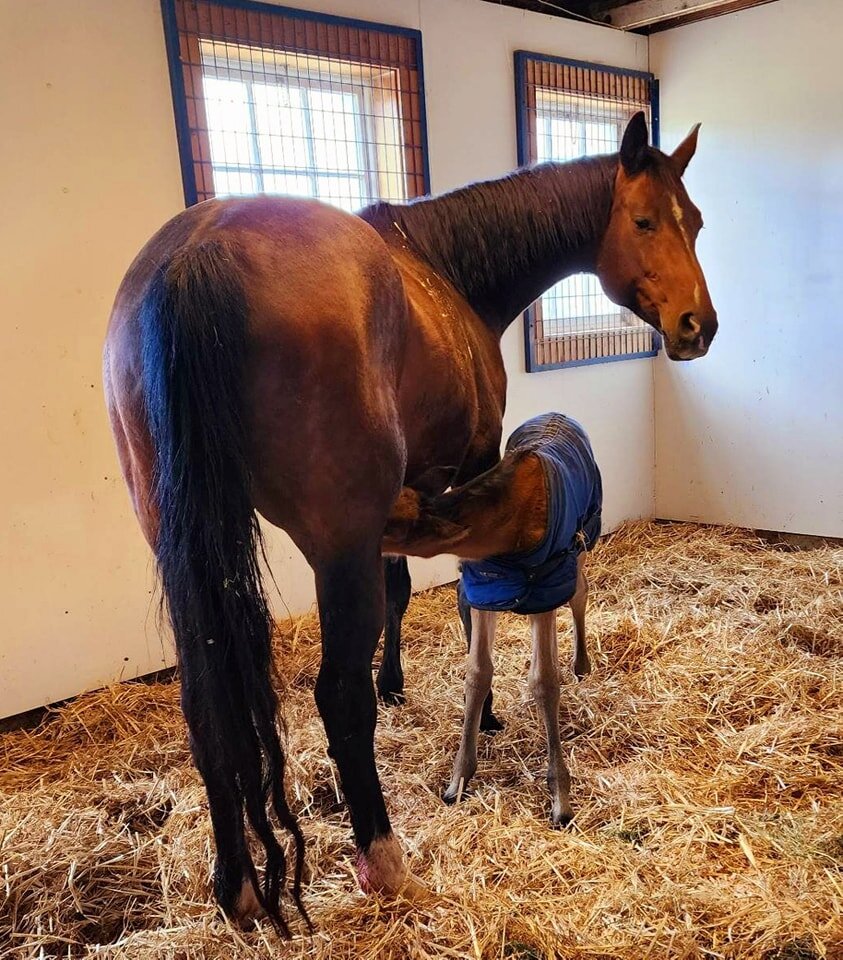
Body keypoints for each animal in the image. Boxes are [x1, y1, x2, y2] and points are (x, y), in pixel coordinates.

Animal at [383, 411, 602, 827]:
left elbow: (545, 680)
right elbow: (477, 673)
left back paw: (581, 664)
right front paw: (457, 781)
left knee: (580, 592)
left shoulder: (545, 581)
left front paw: (560, 797)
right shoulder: (485, 588)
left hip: (584, 538)